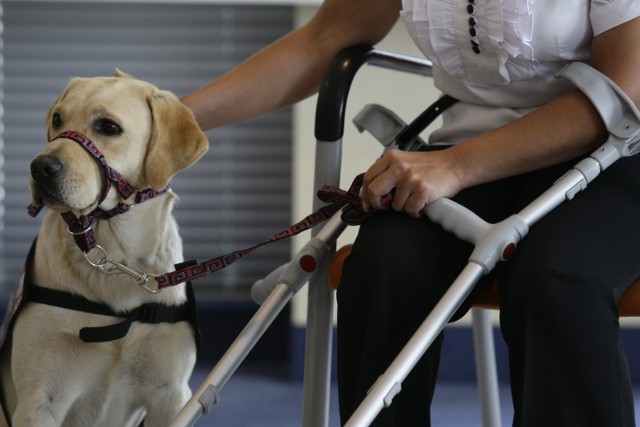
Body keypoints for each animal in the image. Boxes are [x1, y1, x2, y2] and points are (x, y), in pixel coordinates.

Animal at [0, 72, 208, 426]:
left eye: (109, 127)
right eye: (58, 119)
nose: (40, 167)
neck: (116, 254)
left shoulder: (170, 396)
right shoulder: (39, 401)